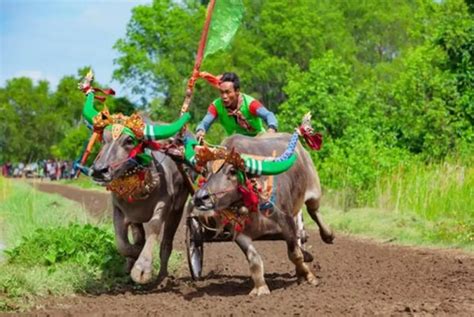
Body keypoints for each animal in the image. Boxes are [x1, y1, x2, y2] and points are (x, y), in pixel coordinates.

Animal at [189, 128, 334, 294]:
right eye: (205, 171)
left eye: (232, 171)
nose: (200, 198)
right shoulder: (239, 233)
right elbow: (254, 259)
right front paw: (261, 287)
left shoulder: (287, 222)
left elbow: (295, 254)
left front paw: (310, 276)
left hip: (314, 190)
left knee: (313, 211)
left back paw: (328, 235)